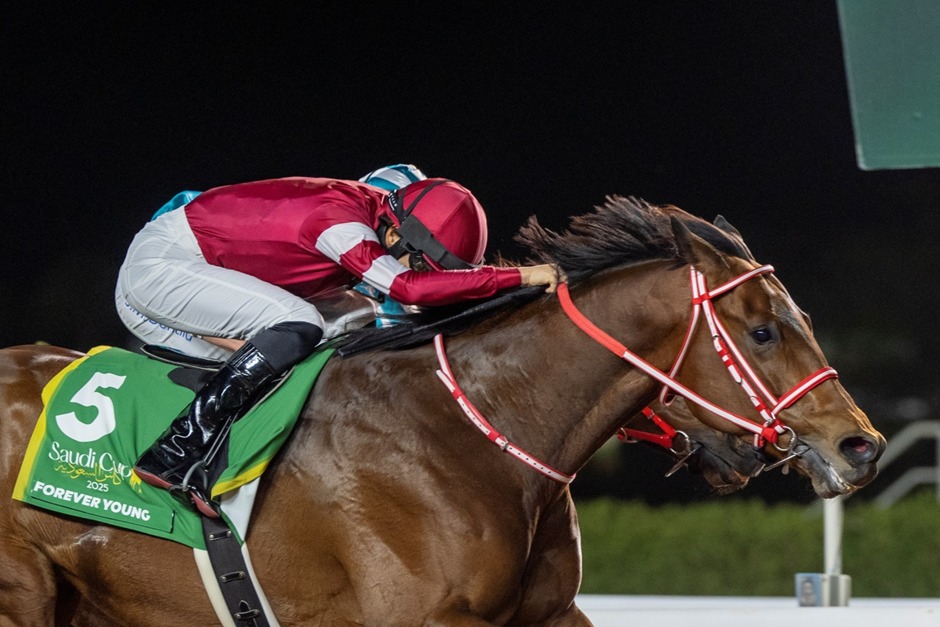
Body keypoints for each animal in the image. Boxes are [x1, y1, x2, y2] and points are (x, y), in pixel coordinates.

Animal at [0, 196, 884, 626]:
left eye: (800, 317)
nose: (861, 444)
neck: (477, 427)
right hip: (26, 596)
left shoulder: (549, 614)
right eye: (764, 329)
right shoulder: (425, 619)